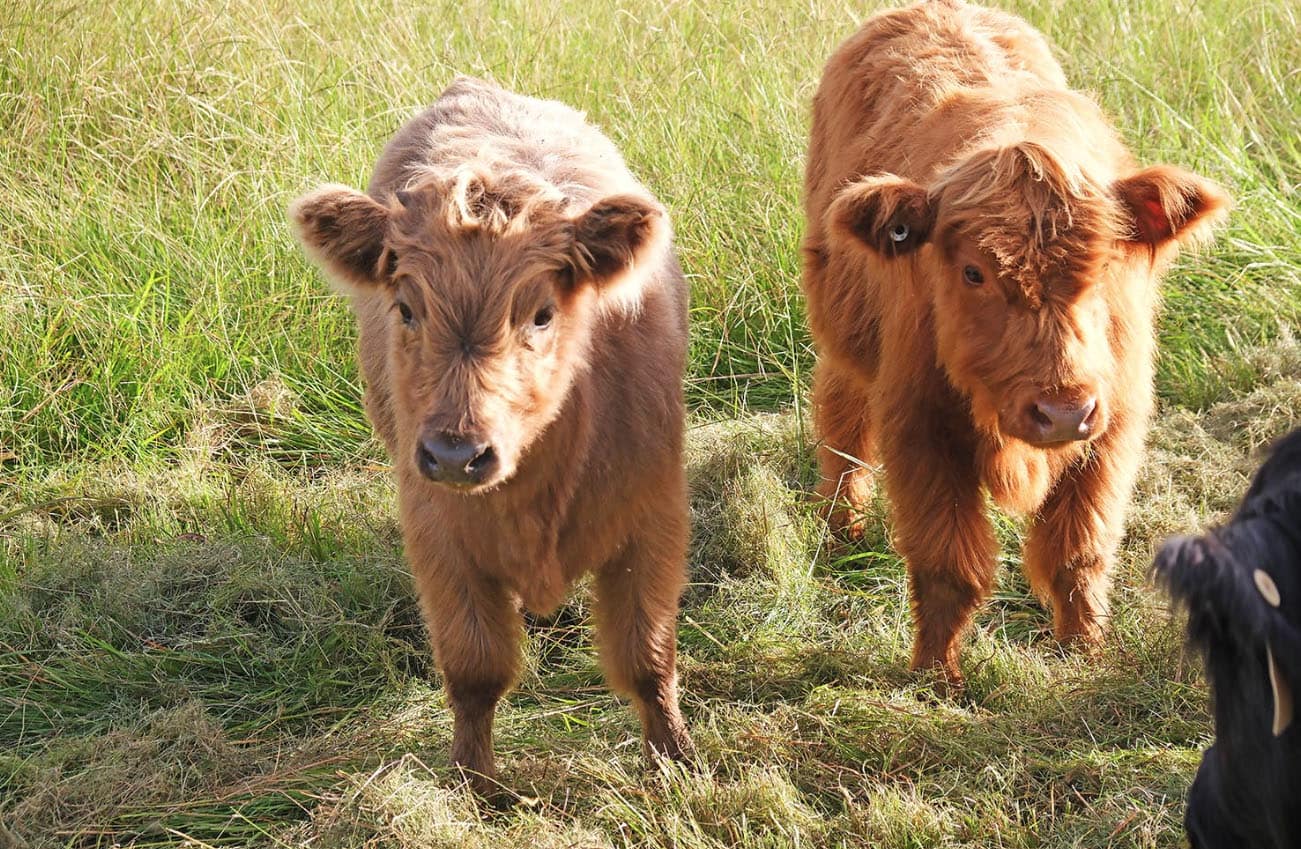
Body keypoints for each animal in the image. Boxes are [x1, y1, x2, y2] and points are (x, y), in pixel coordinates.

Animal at [289, 77, 695, 798]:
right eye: (406, 309)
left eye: (541, 314)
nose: (456, 454)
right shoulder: (438, 535)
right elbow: (475, 670)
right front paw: (475, 787)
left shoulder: (653, 517)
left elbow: (646, 655)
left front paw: (676, 763)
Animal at [801, 0, 1229, 686]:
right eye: (973, 272)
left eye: (1107, 265)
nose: (1060, 412)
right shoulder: (918, 422)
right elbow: (949, 563)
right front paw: (936, 677)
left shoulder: (1113, 425)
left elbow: (1079, 552)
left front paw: (1085, 652)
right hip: (845, 342)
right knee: (843, 428)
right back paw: (842, 528)